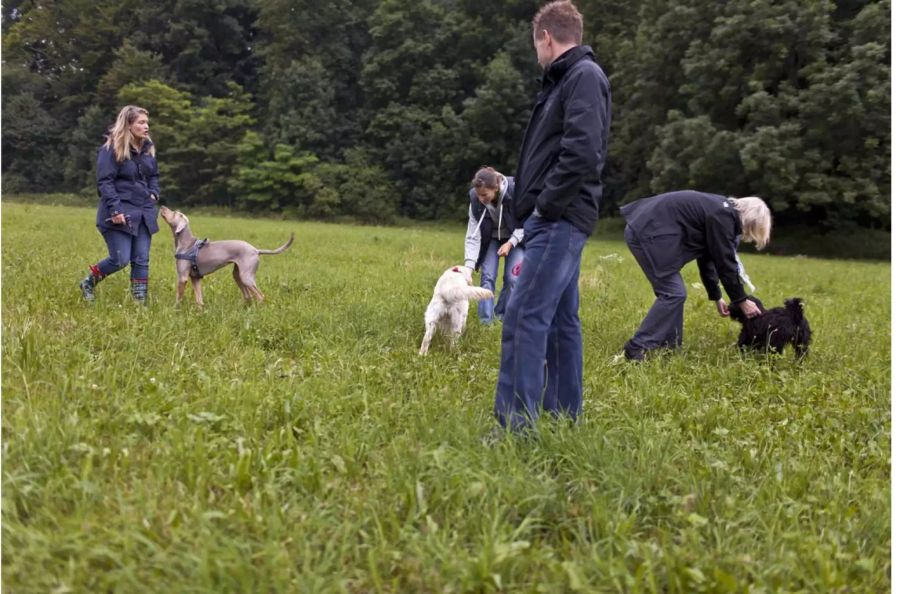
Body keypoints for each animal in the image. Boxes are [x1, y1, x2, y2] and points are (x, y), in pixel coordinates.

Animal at [158, 205, 292, 306]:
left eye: (174, 212)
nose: (162, 205)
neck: (187, 243)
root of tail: (255, 250)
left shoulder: (182, 278)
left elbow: (178, 298)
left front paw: (175, 311)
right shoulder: (195, 278)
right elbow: (199, 300)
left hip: (246, 277)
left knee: (260, 296)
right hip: (238, 275)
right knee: (248, 295)